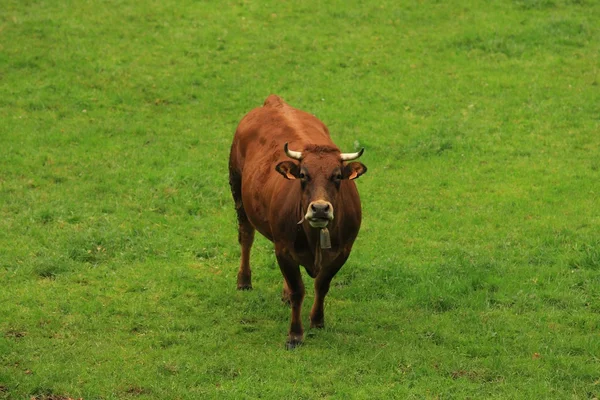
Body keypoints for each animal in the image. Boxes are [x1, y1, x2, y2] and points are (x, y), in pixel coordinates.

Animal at [229, 95, 366, 348]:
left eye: (337, 176)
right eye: (303, 175)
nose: (320, 208)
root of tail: (274, 102)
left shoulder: (343, 251)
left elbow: (321, 285)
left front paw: (317, 321)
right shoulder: (283, 249)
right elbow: (297, 291)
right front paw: (295, 335)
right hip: (237, 188)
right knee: (246, 236)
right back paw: (244, 280)